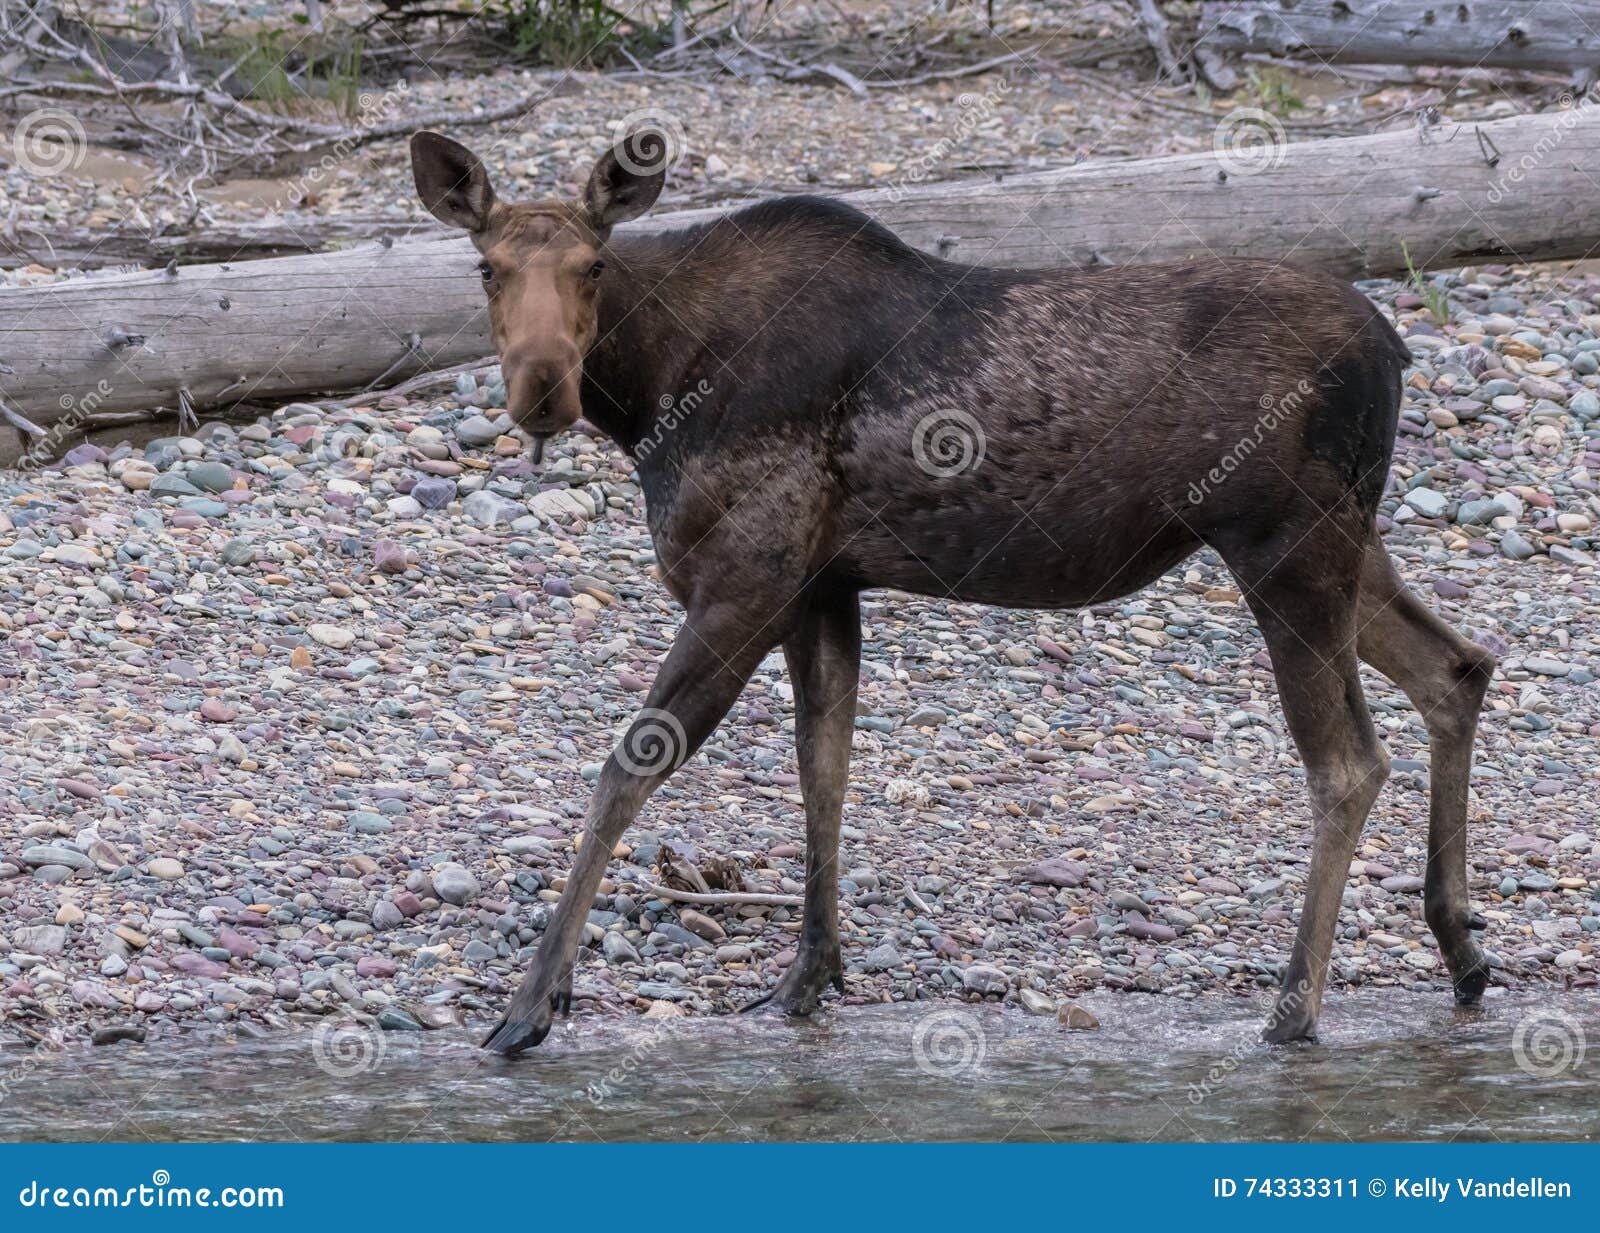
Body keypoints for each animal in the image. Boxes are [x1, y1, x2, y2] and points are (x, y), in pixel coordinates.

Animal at [412, 125, 1497, 1055]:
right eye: (486, 268)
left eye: (593, 267)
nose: (542, 386)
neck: (646, 398)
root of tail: (1396, 348)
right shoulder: (821, 587)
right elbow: (823, 769)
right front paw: (806, 978)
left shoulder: (746, 576)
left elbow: (626, 771)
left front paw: (530, 1005)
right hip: (1340, 545)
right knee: (1457, 665)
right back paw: (1462, 948)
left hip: (1285, 545)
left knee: (1349, 762)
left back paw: (1294, 1006)